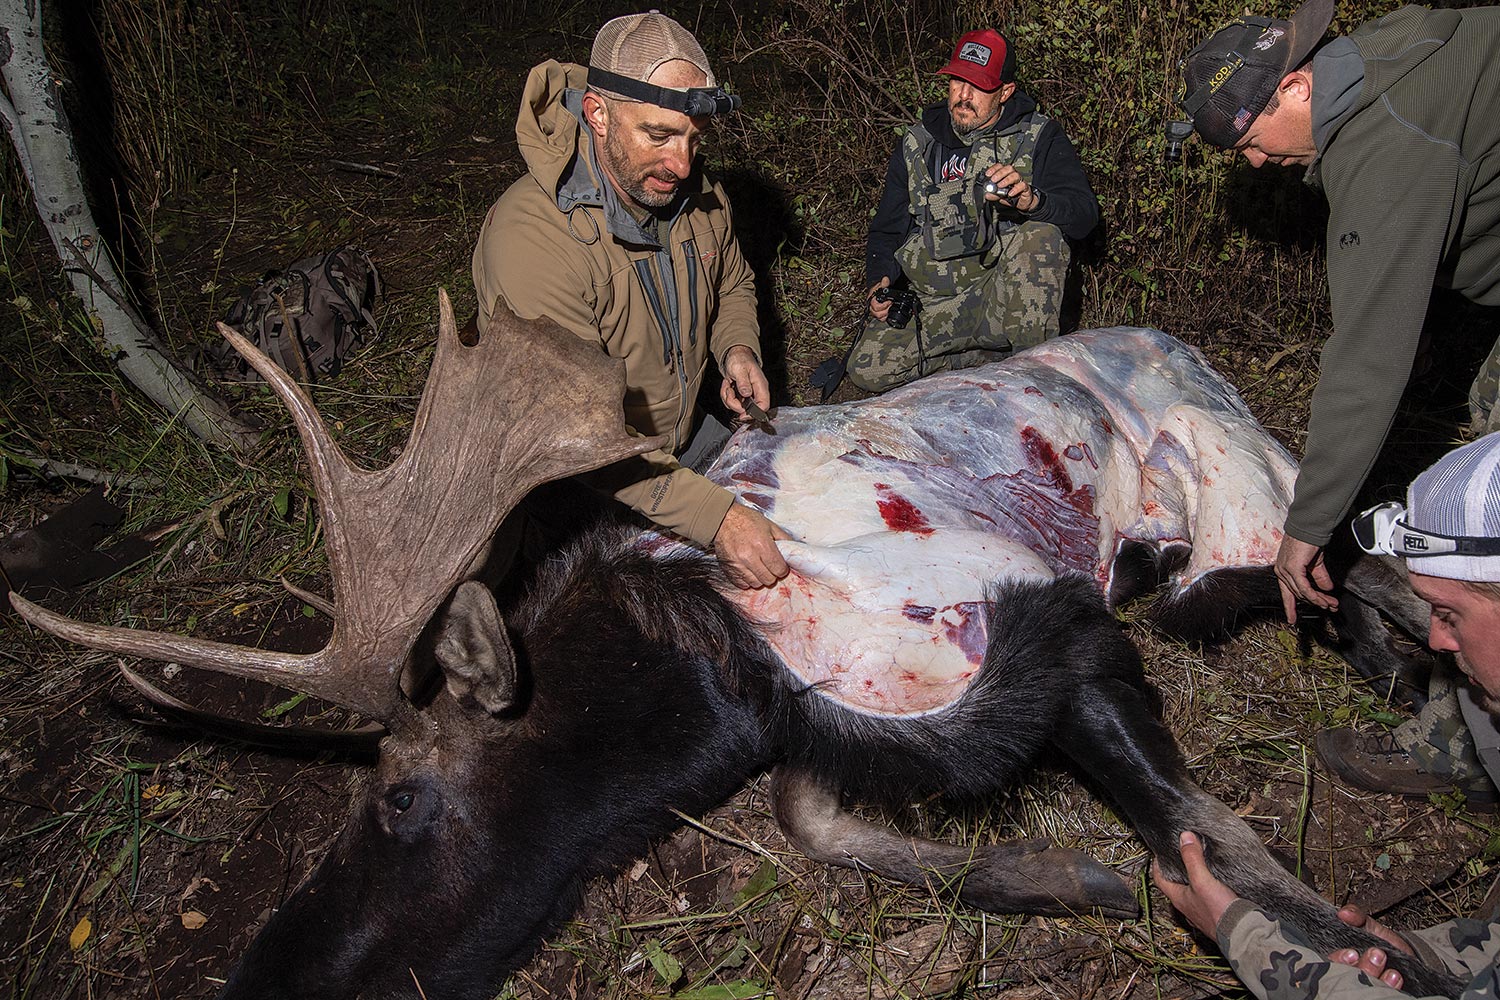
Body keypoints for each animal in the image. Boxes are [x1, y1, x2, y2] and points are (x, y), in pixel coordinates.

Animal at [10, 292, 1461, 999]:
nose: (266, 972)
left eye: (402, 796)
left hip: (1251, 476)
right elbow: (821, 816)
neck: (711, 656)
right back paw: (1389, 667)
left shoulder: (1060, 627)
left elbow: (1215, 835)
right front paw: (1064, 876)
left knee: (1374, 545)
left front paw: (1396, 954)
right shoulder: (828, 722)